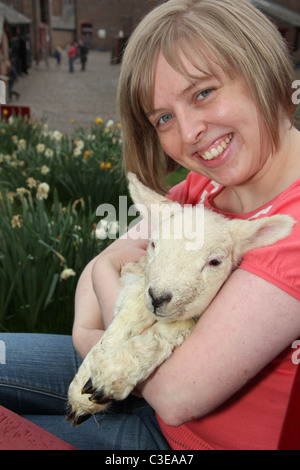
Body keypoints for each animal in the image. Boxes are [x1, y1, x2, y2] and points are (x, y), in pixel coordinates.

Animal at [66, 172, 296, 426]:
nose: (158, 297)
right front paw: (82, 392)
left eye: (215, 262)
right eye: (153, 243)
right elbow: (129, 314)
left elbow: (170, 330)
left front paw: (109, 377)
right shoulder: (135, 273)